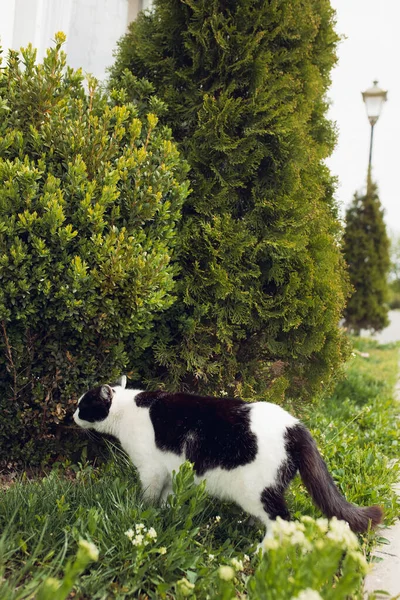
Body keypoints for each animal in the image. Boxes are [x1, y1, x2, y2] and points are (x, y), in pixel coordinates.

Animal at [73, 376, 382, 544]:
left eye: (82, 405)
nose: (71, 414)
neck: (126, 408)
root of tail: (295, 426)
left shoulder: (151, 470)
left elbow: (148, 496)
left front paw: (143, 511)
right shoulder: (171, 472)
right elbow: (167, 497)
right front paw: (164, 513)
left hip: (257, 491)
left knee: (282, 519)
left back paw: (263, 551)